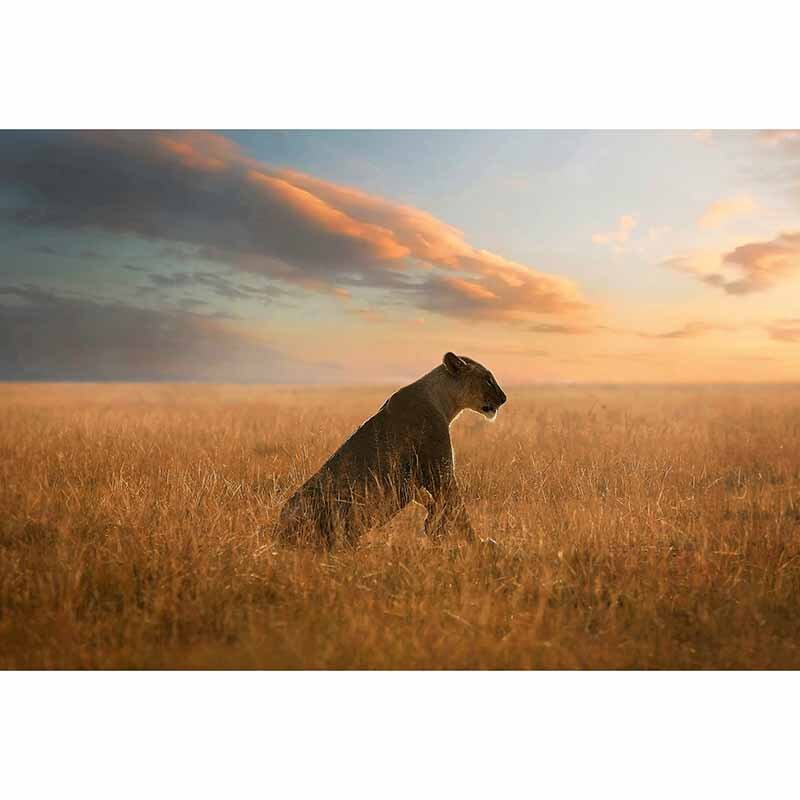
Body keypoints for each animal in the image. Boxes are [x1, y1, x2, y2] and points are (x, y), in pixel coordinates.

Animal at [273, 352, 507, 547]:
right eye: (488, 379)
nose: (504, 398)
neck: (443, 400)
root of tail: (276, 533)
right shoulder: (439, 469)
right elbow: (458, 509)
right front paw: (479, 544)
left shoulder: (414, 478)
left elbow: (435, 504)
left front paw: (434, 524)